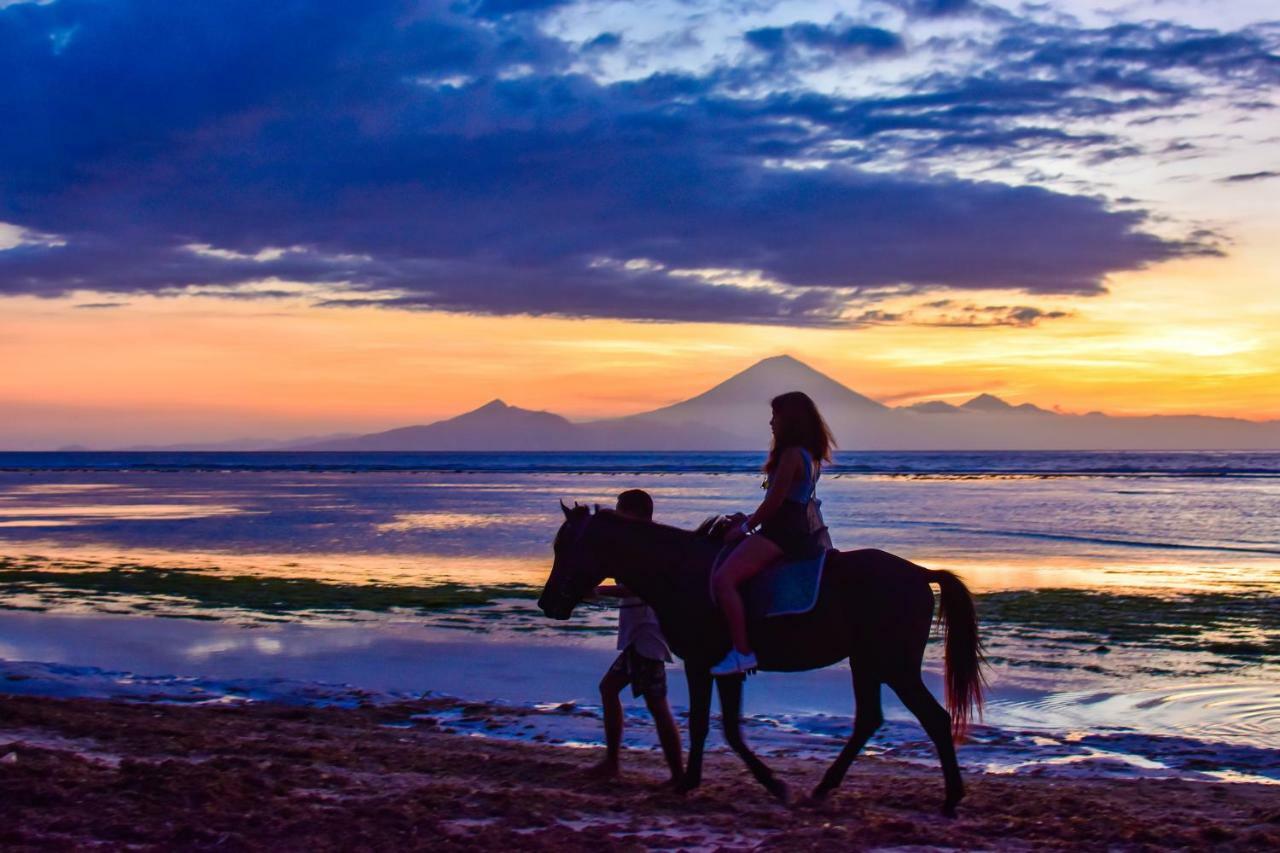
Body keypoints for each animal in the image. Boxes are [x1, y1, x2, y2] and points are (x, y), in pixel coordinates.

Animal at [535, 502, 983, 814]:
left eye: (565, 546)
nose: (547, 602)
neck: (680, 571)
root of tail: (920, 573)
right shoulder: (720, 669)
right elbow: (723, 728)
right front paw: (738, 782)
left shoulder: (705, 664)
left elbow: (711, 726)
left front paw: (711, 783)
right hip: (867, 663)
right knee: (869, 720)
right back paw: (824, 788)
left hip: (894, 665)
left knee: (933, 719)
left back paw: (951, 798)